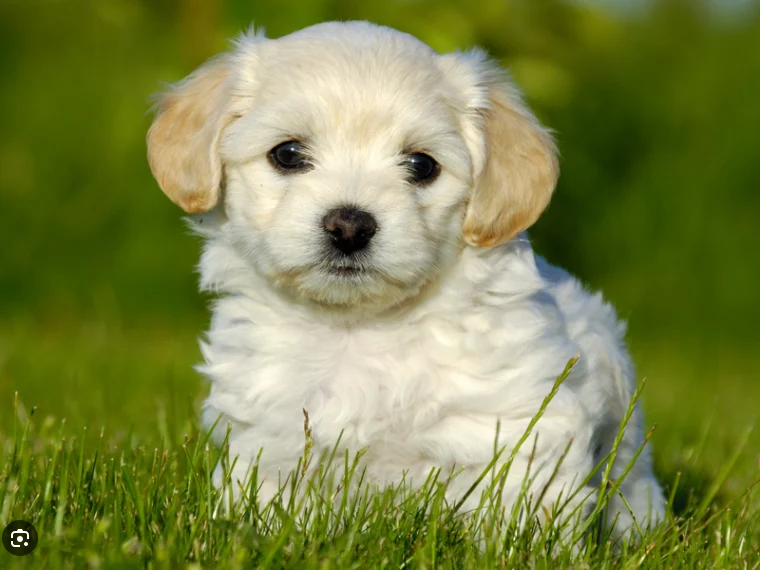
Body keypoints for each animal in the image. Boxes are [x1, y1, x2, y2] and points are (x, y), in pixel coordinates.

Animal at [145, 21, 664, 536]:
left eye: (421, 165)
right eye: (288, 154)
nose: (349, 226)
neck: (357, 329)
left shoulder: (518, 423)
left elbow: (517, 515)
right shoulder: (272, 441)